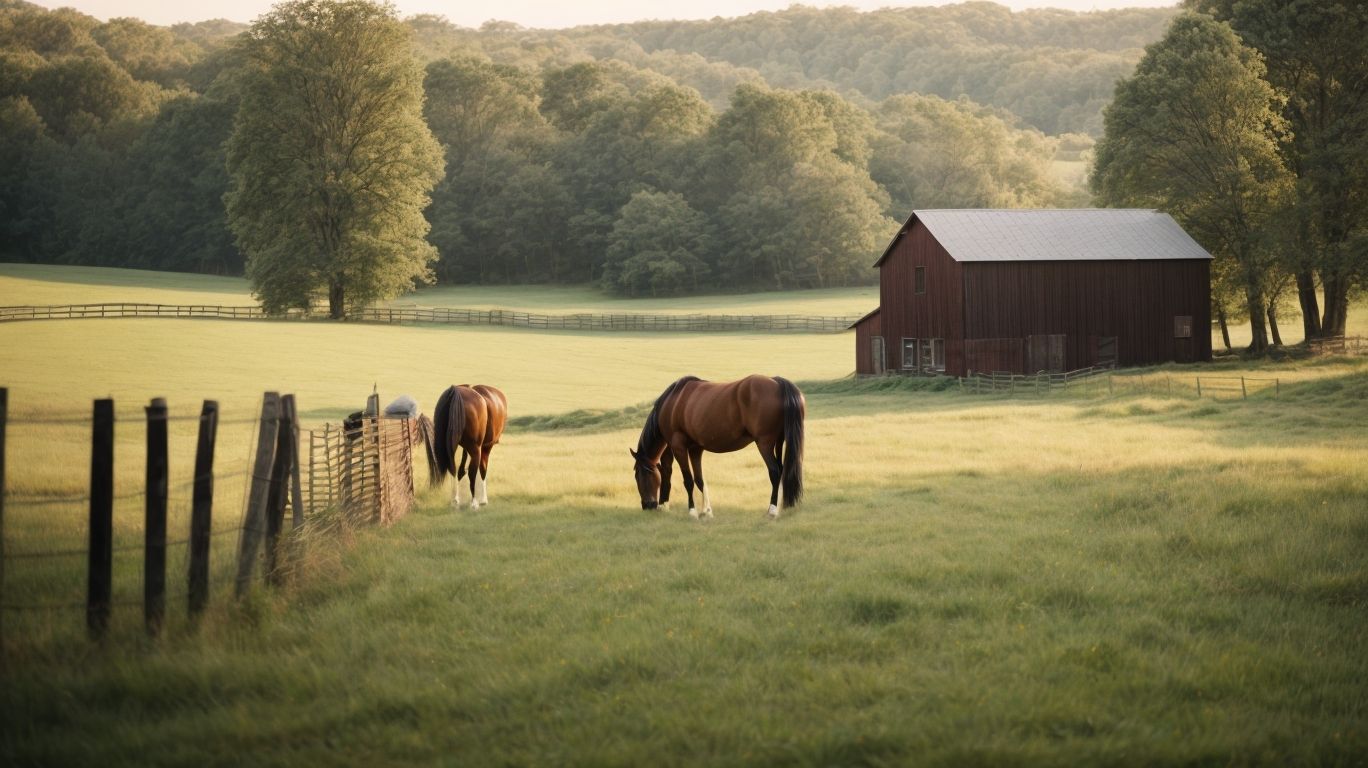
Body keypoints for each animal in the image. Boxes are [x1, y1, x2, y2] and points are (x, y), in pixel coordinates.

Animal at [630, 375, 804, 520]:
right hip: (779, 441)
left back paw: (772, 510)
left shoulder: (678, 446)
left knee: (774, 472)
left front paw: (692, 512)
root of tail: (776, 382)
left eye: (639, 475)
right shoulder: (695, 449)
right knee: (781, 469)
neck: (673, 403)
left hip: (764, 443)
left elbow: (688, 480)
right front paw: (706, 511)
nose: (647, 505)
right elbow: (699, 480)